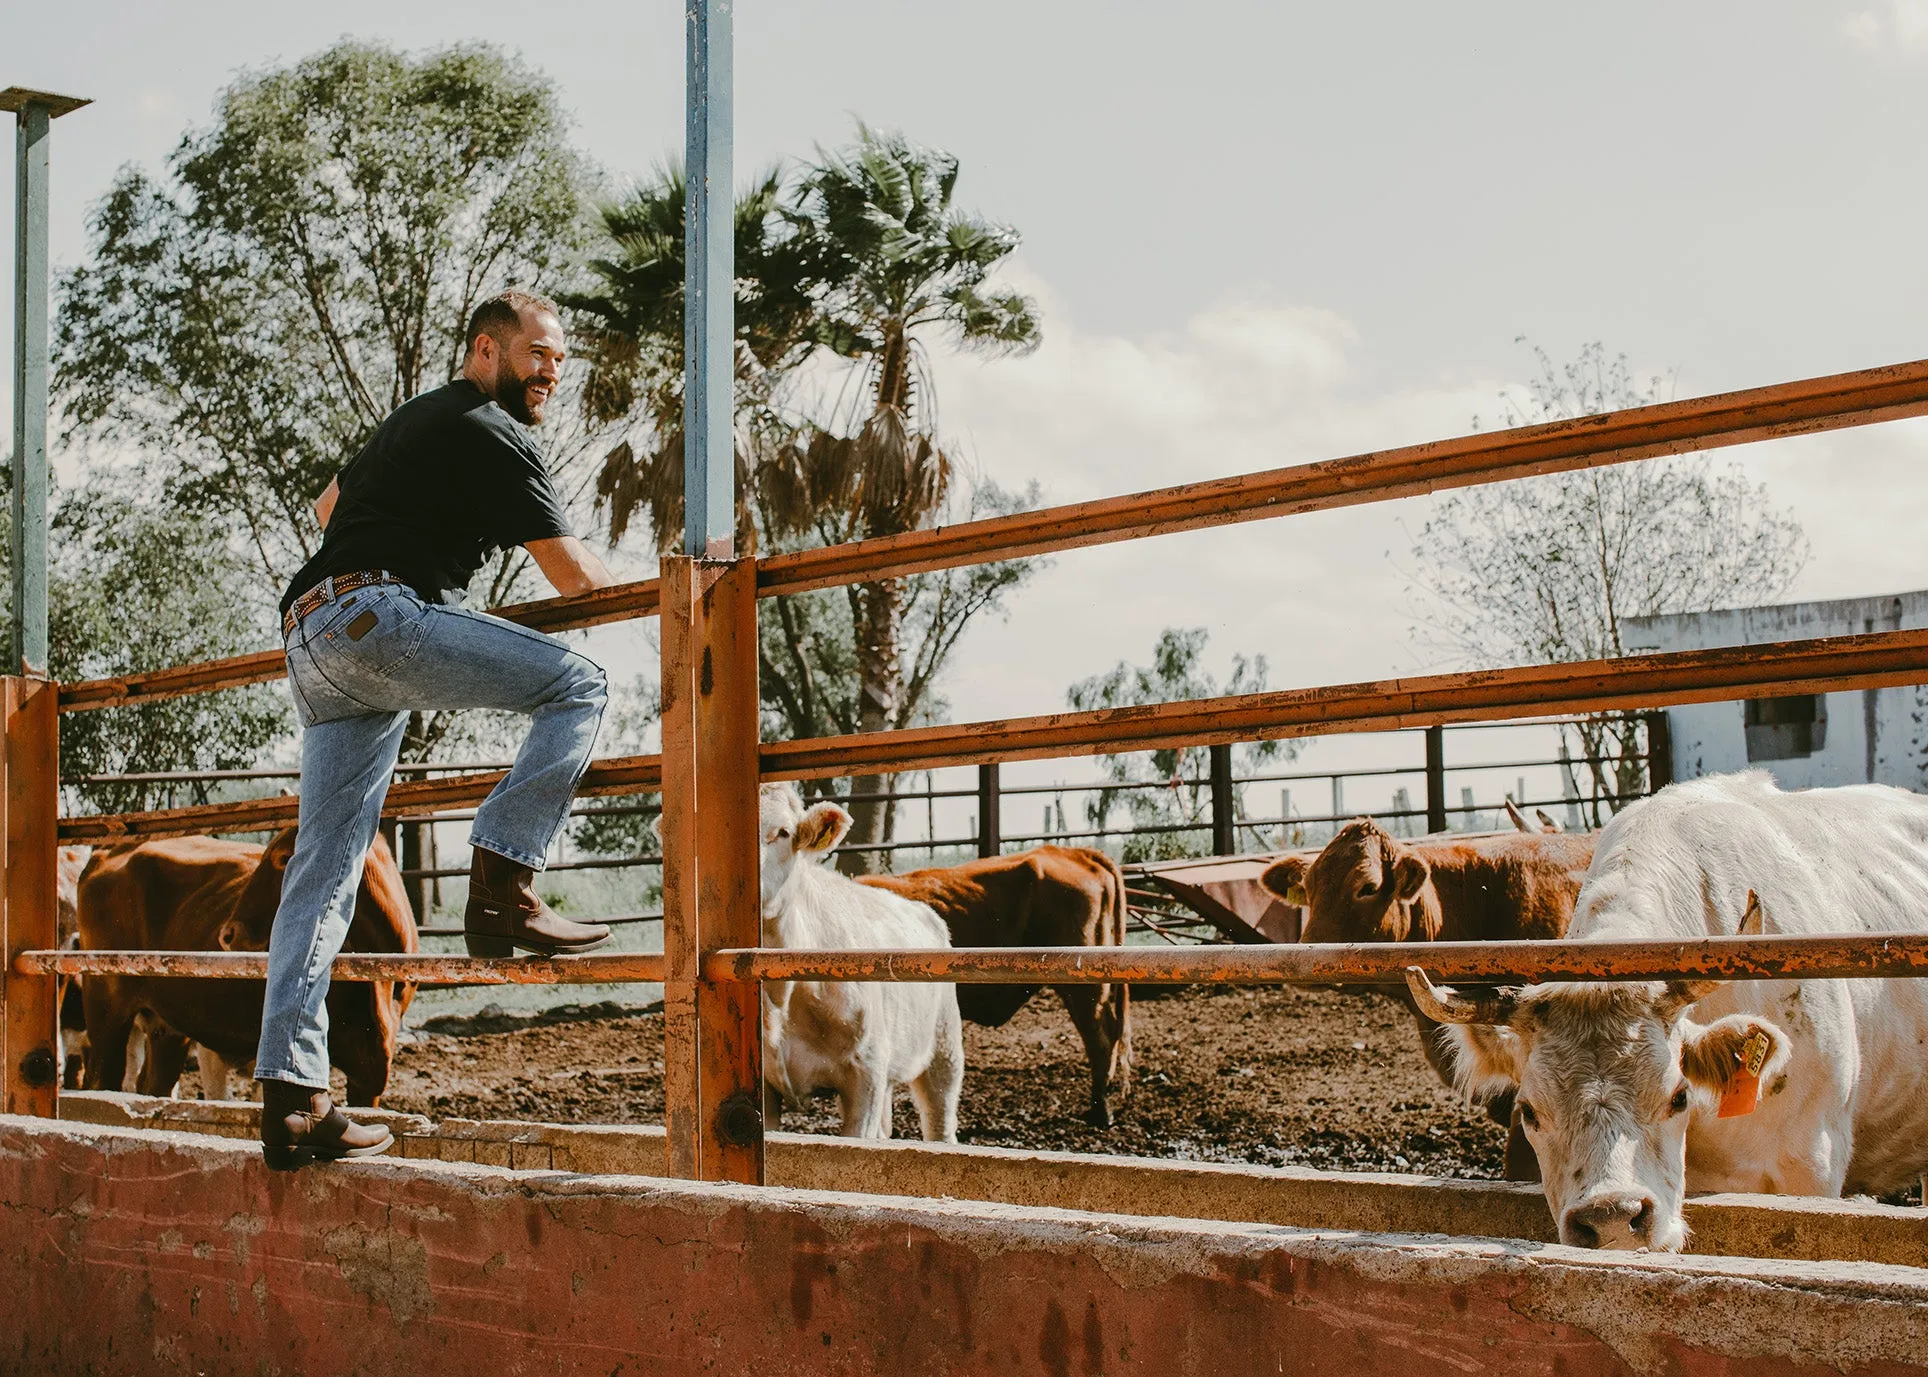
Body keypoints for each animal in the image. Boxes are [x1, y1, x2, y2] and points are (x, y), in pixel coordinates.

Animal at [81, 825, 418, 1103]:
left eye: (283, 857)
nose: (227, 934)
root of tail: (107, 852)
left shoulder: (370, 1070)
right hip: (106, 1007)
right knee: (100, 1078)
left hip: (167, 1025)